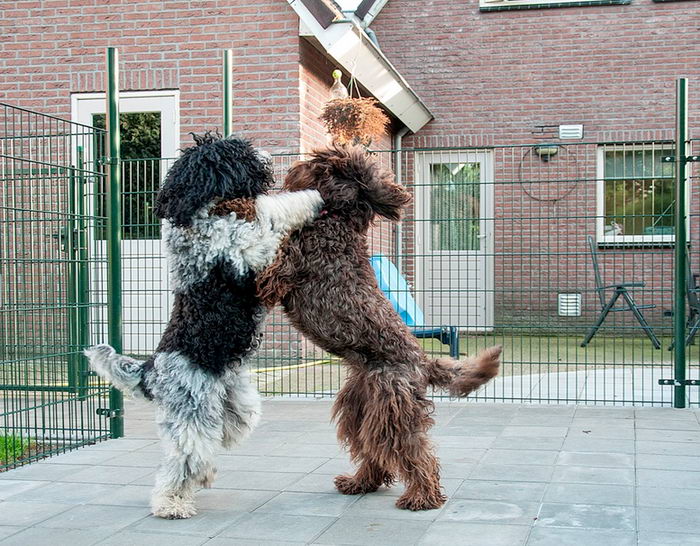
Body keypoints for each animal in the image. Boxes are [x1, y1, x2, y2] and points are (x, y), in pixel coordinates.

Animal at [85, 134, 322, 516]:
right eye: (235, 153)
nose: (266, 155)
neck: (197, 216)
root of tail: (151, 370)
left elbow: (265, 209)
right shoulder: (248, 249)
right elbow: (270, 212)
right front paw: (312, 197)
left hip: (236, 406)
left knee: (217, 439)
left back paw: (203, 476)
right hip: (191, 412)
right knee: (182, 457)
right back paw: (171, 503)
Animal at [260, 144, 500, 510]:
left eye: (320, 162)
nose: (290, 167)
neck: (336, 219)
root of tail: (422, 363)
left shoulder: (282, 270)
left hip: (390, 409)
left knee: (414, 453)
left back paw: (422, 497)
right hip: (360, 408)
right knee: (372, 450)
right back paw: (359, 482)